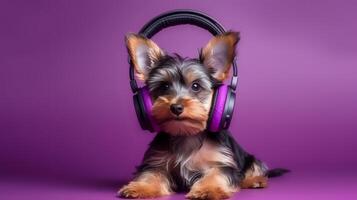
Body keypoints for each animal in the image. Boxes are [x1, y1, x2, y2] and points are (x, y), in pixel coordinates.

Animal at [117, 31, 286, 200]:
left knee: (253, 169)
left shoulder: (222, 162)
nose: (176, 107)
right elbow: (151, 174)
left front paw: (208, 189)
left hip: (250, 159)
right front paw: (140, 187)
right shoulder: (156, 161)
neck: (186, 133)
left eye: (196, 86)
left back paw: (255, 180)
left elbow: (216, 174)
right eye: (164, 86)